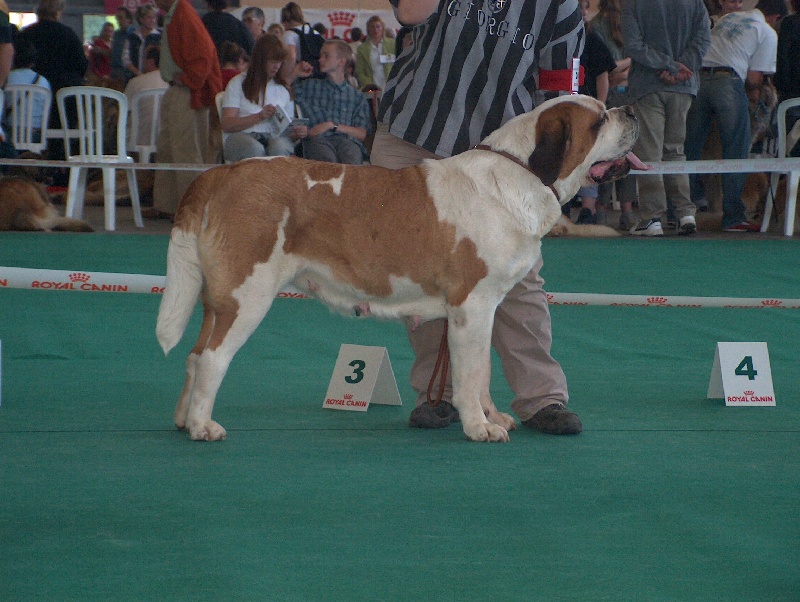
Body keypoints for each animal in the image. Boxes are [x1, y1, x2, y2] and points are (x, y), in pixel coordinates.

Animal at [158, 94, 644, 440]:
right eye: (598, 121)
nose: (631, 110)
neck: (520, 172)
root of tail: (219, 174)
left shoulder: (486, 307)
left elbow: (484, 369)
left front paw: (493, 417)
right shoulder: (471, 305)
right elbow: (469, 374)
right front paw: (478, 427)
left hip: (218, 299)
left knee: (195, 355)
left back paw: (183, 420)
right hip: (247, 295)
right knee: (213, 358)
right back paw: (203, 427)